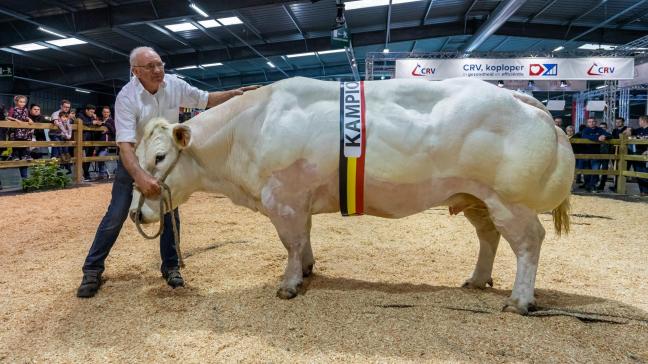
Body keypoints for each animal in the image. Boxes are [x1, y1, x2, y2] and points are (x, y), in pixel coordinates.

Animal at [130, 77, 572, 316]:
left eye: (160, 157)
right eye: (138, 157)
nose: (137, 213)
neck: (249, 128)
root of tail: (519, 96)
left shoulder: (283, 197)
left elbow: (291, 242)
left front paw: (289, 284)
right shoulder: (300, 200)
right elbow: (304, 238)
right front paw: (308, 270)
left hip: (509, 200)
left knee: (529, 242)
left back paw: (519, 300)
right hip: (475, 196)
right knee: (488, 236)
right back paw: (477, 280)